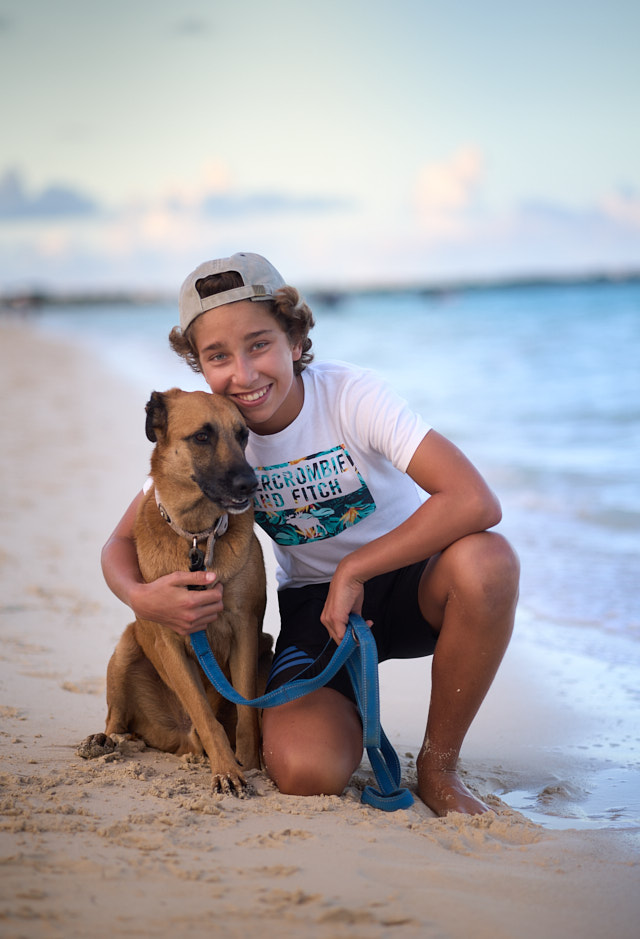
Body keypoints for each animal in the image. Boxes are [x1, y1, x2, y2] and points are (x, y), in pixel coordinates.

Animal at [80, 388, 270, 792]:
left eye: (243, 435)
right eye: (202, 436)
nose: (250, 484)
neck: (197, 534)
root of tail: (184, 740)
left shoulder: (247, 627)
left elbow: (247, 710)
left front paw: (248, 765)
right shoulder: (169, 639)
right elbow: (203, 711)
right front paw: (227, 770)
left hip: (265, 643)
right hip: (129, 644)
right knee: (117, 721)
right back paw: (104, 740)